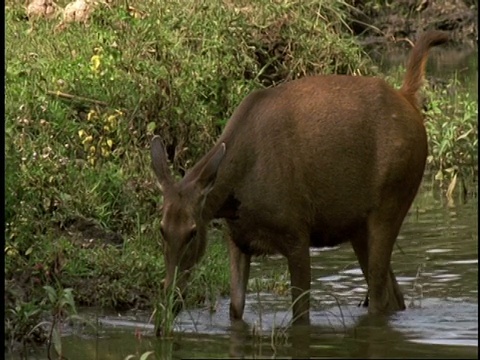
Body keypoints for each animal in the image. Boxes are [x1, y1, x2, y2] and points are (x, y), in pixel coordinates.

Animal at [150, 30, 450, 324]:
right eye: (161, 229)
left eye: (192, 232)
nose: (170, 298)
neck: (235, 195)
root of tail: (408, 98)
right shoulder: (236, 239)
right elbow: (235, 310)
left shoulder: (296, 231)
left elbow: (300, 315)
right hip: (358, 225)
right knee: (394, 296)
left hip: (391, 202)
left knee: (378, 297)